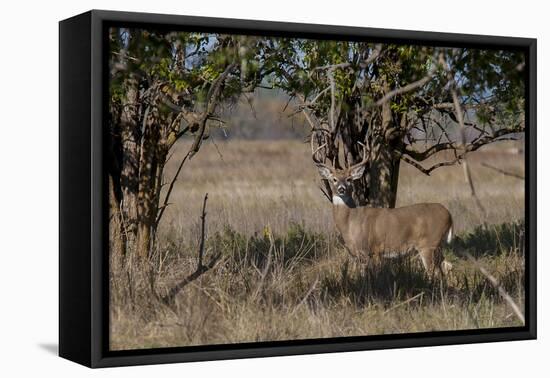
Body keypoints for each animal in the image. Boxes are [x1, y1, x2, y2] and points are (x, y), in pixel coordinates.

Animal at [312, 137, 454, 276]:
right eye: (334, 179)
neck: (350, 222)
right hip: (438, 245)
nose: (341, 189)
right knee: (447, 267)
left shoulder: (372, 249)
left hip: (429, 244)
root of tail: (449, 215)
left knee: (435, 272)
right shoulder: (357, 255)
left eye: (349, 179)